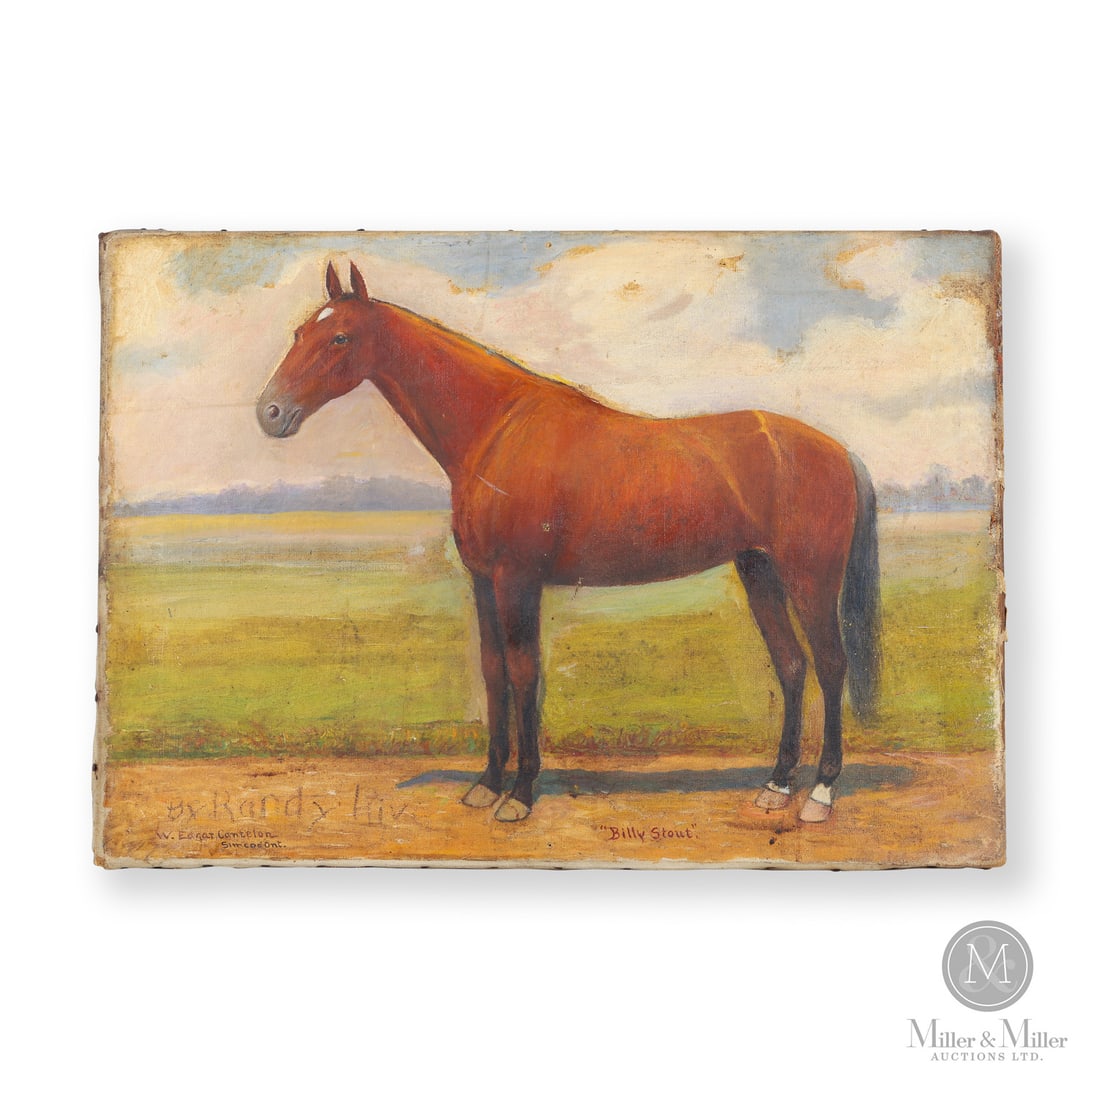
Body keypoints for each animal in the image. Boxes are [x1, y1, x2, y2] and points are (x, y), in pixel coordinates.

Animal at [257, 261, 881, 824]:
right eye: (299, 332)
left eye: (339, 337)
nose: (270, 413)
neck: (498, 428)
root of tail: (837, 450)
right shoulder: (483, 580)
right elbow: (492, 671)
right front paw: (486, 784)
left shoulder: (518, 581)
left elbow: (524, 672)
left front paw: (520, 795)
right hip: (759, 573)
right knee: (792, 666)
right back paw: (776, 786)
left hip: (809, 579)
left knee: (830, 665)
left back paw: (821, 794)